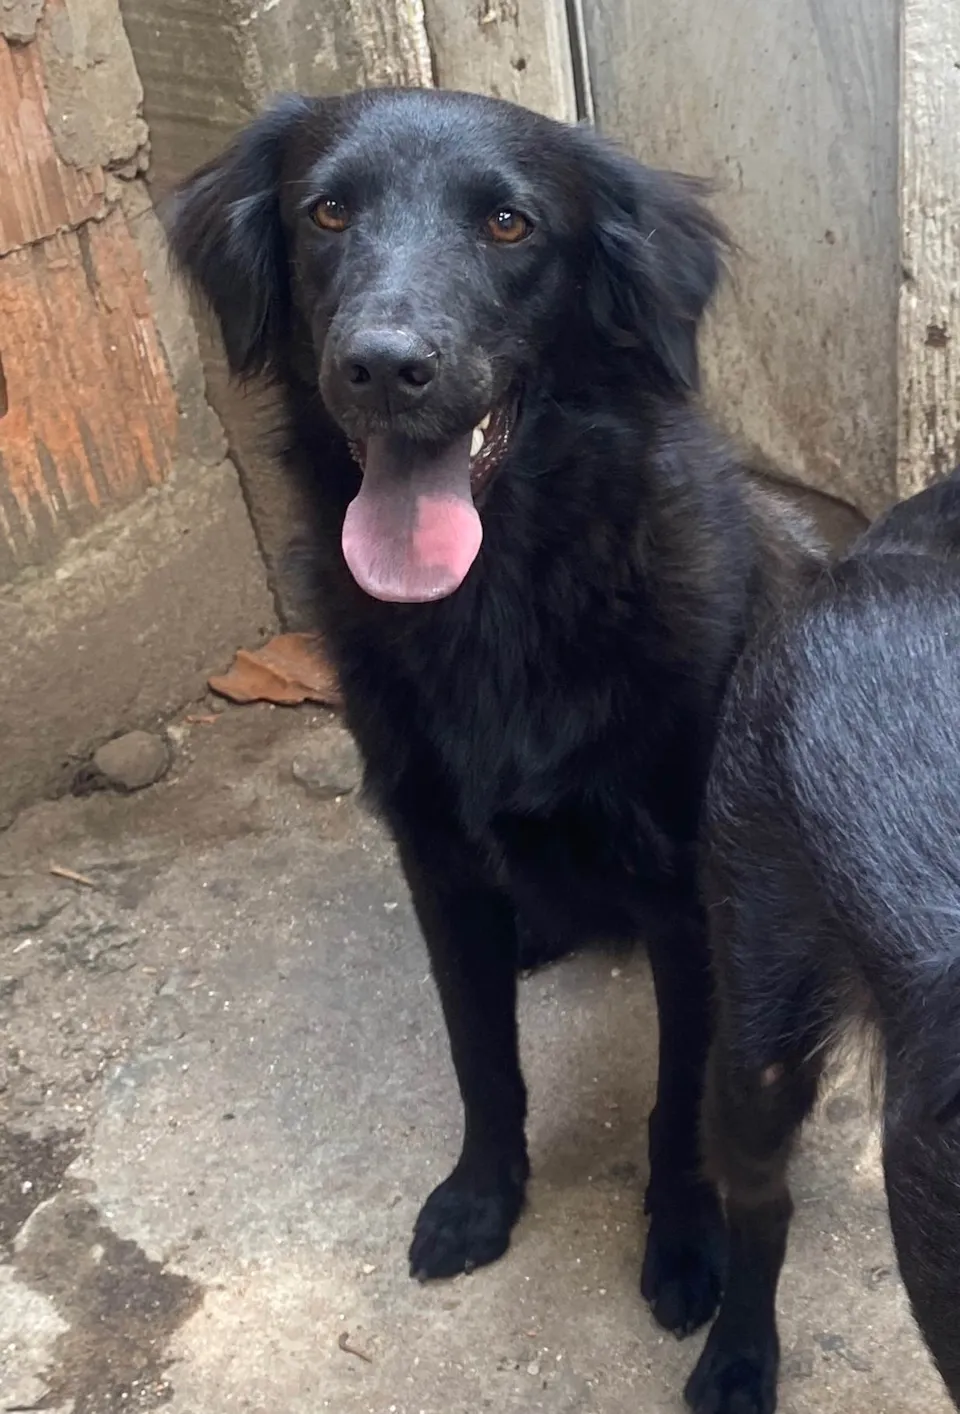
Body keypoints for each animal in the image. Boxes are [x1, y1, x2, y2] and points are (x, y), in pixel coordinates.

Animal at [168, 86, 818, 1340]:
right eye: (326, 212)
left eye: (509, 225)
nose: (383, 366)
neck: (504, 606)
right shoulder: (435, 861)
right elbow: (481, 1058)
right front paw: (481, 1198)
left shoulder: (687, 901)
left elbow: (679, 1102)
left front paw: (685, 1242)